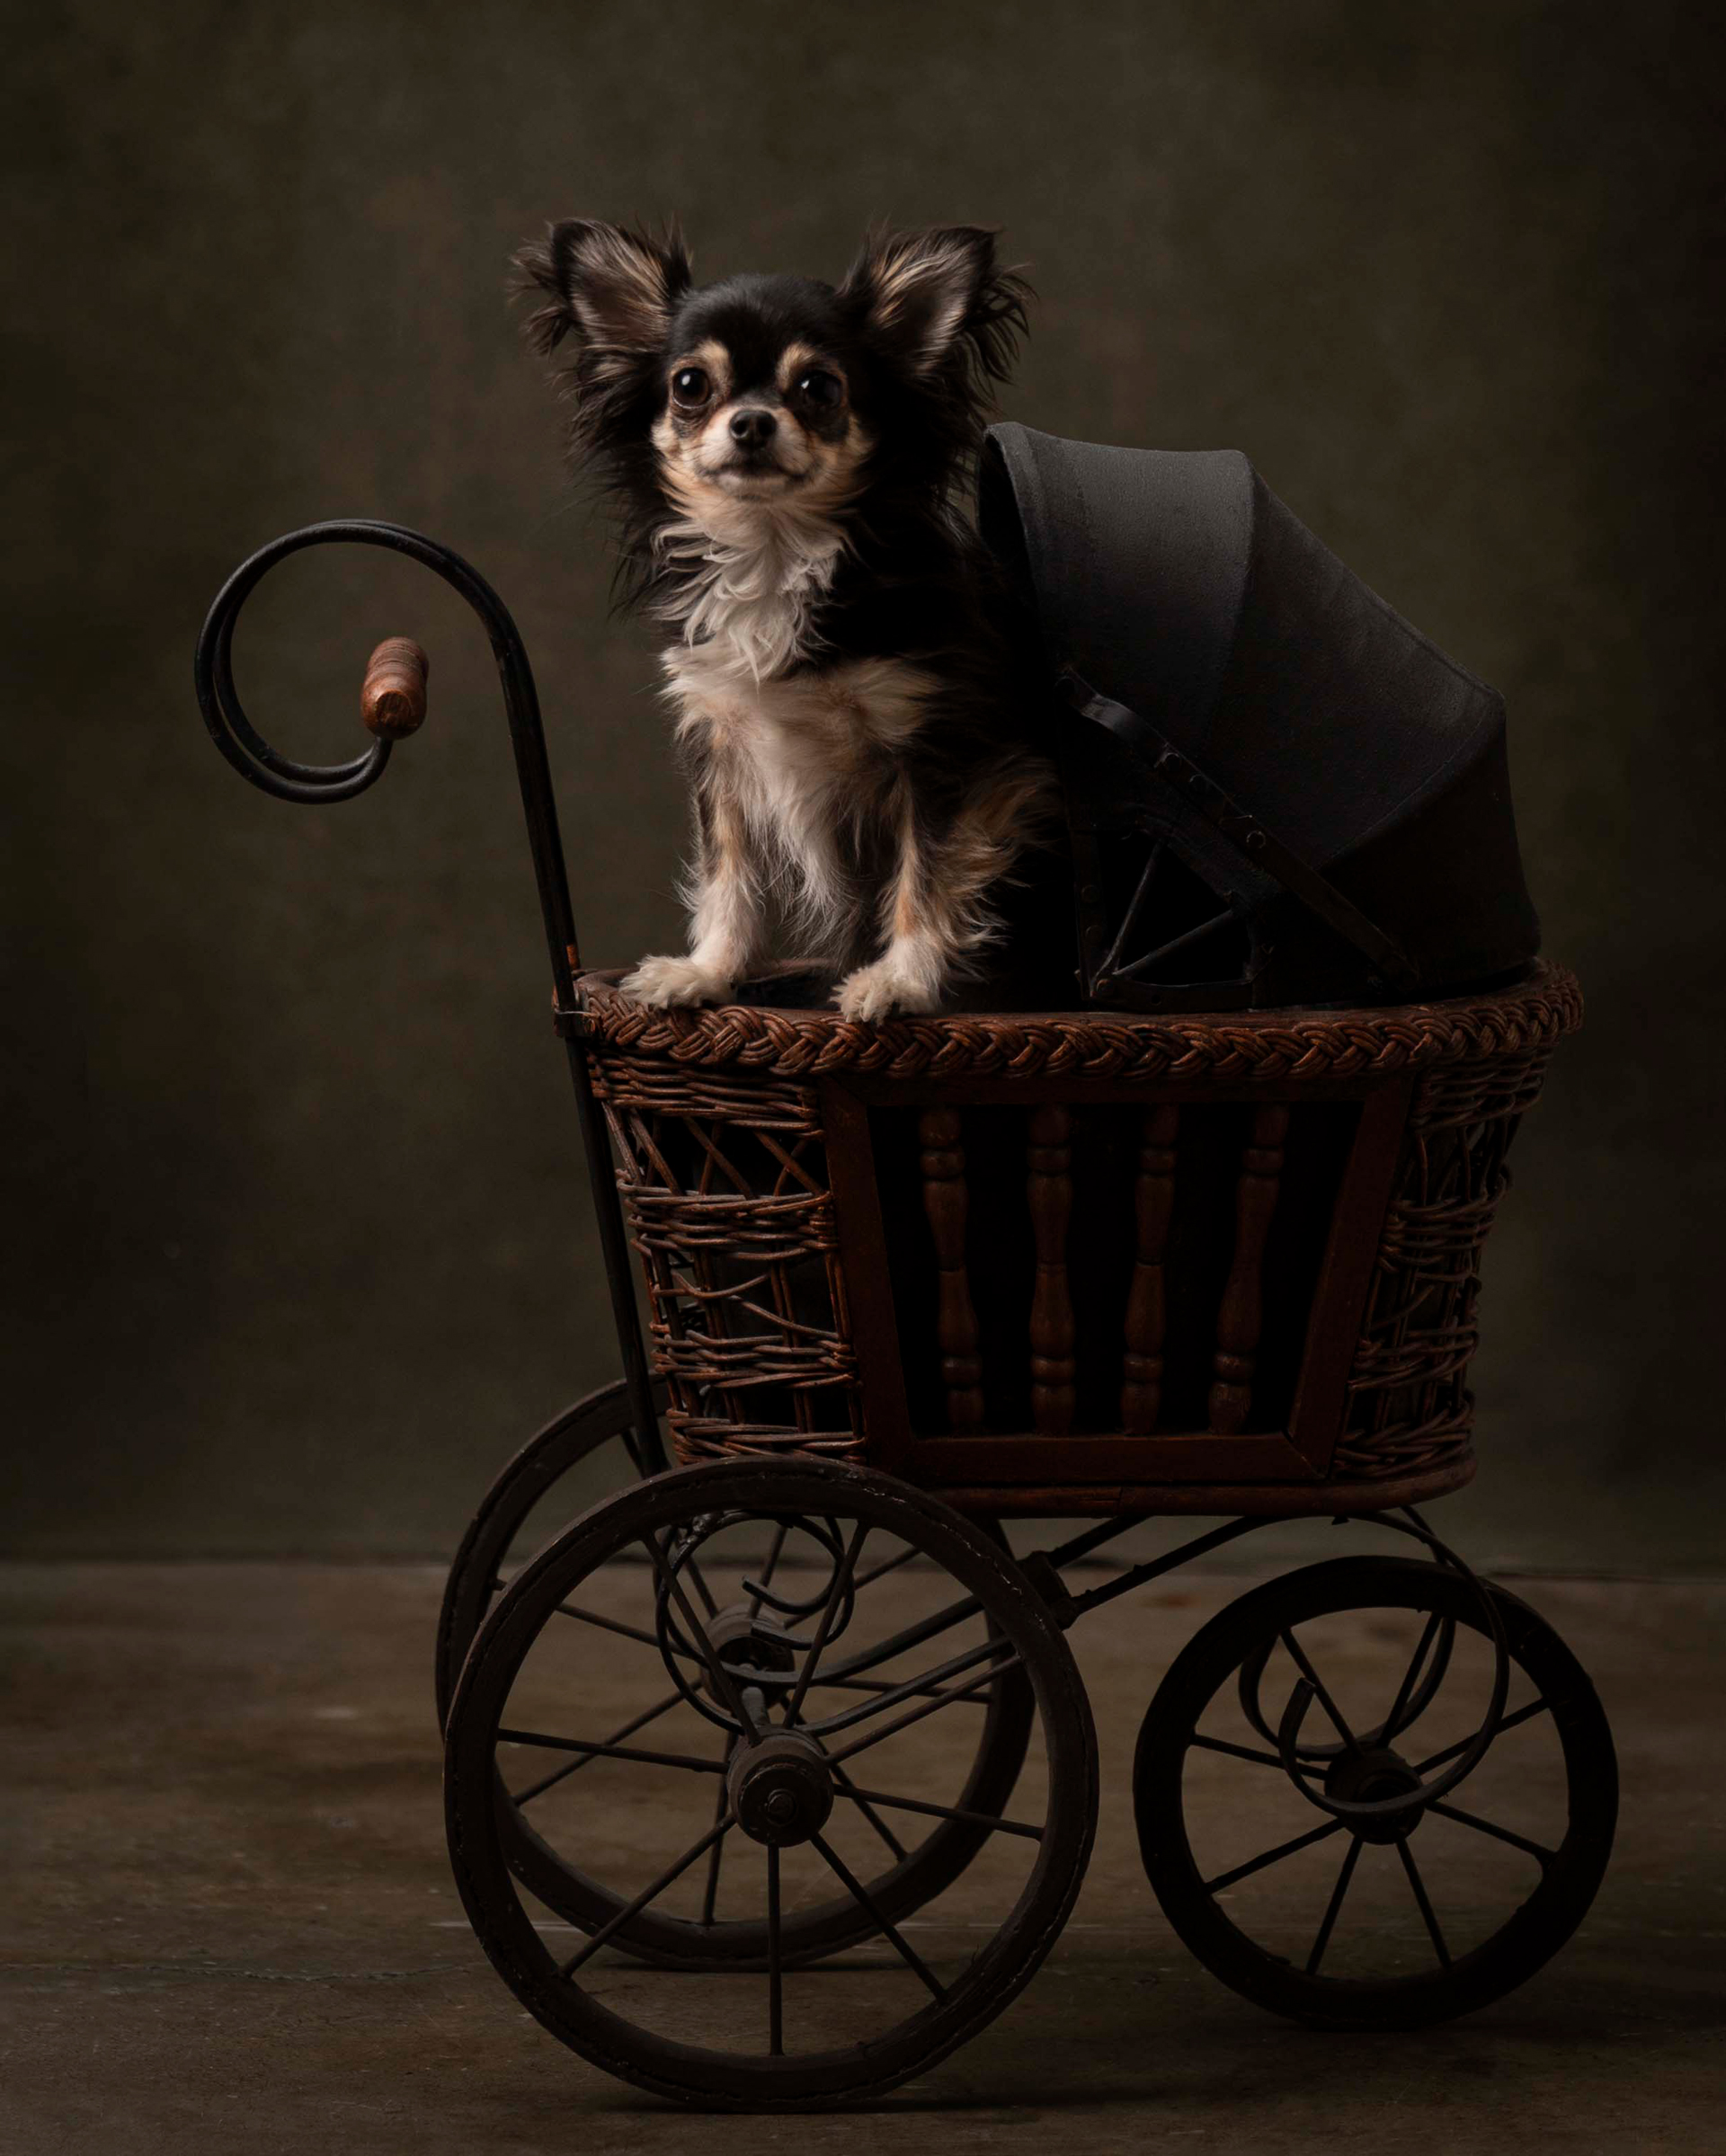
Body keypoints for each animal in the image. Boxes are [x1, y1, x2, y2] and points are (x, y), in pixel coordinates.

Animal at [509, 217, 1053, 1017]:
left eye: (819, 387)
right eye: (690, 385)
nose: (753, 422)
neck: (773, 553)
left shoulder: (946, 752)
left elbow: (925, 877)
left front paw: (899, 982)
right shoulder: (724, 748)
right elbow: (727, 876)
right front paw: (707, 971)